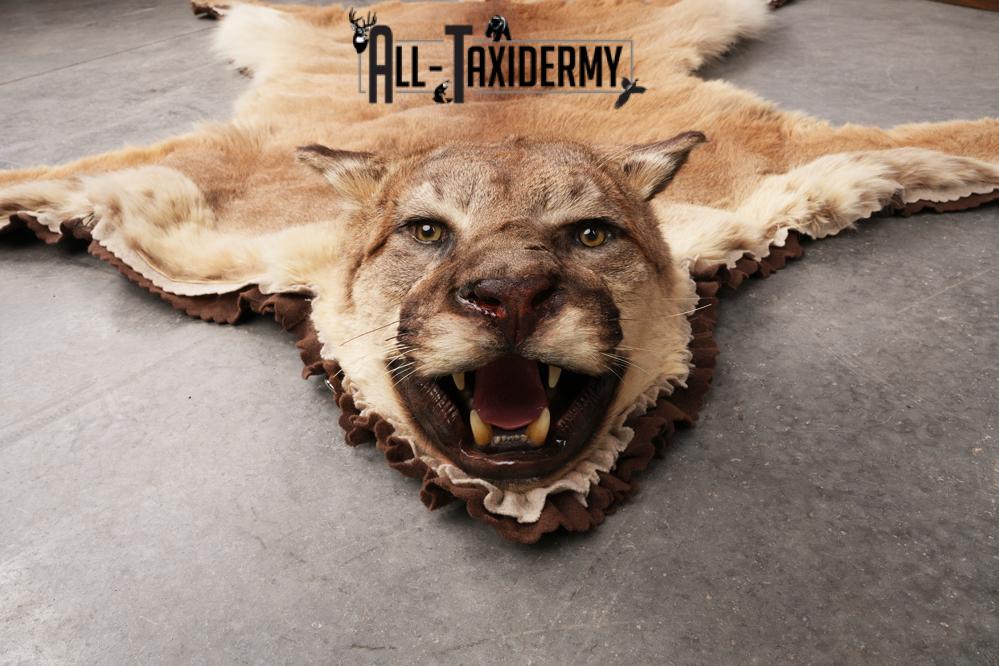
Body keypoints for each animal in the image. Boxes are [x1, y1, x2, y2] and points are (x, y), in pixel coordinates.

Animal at [1, 0, 997, 542]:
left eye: (590, 234)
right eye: (425, 230)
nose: (509, 295)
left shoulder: (775, 164)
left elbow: (954, 138)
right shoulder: (206, 192)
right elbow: (41, 176)